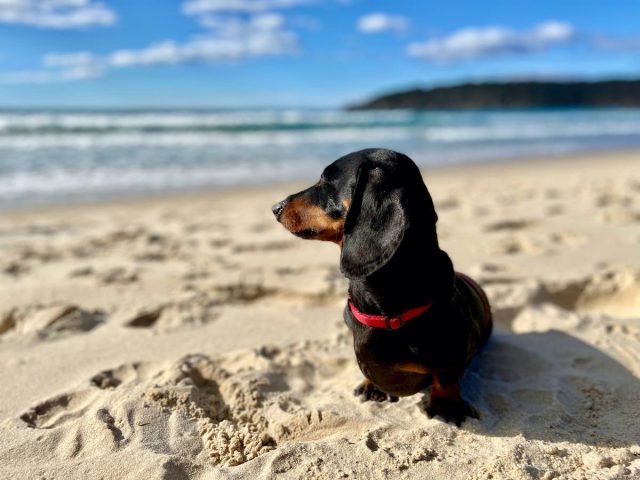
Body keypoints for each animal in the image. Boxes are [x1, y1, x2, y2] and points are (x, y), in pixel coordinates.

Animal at [272, 148, 492, 426]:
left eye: (327, 180)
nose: (275, 207)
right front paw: (370, 385)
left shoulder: (457, 352)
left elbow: (446, 377)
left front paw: (447, 406)